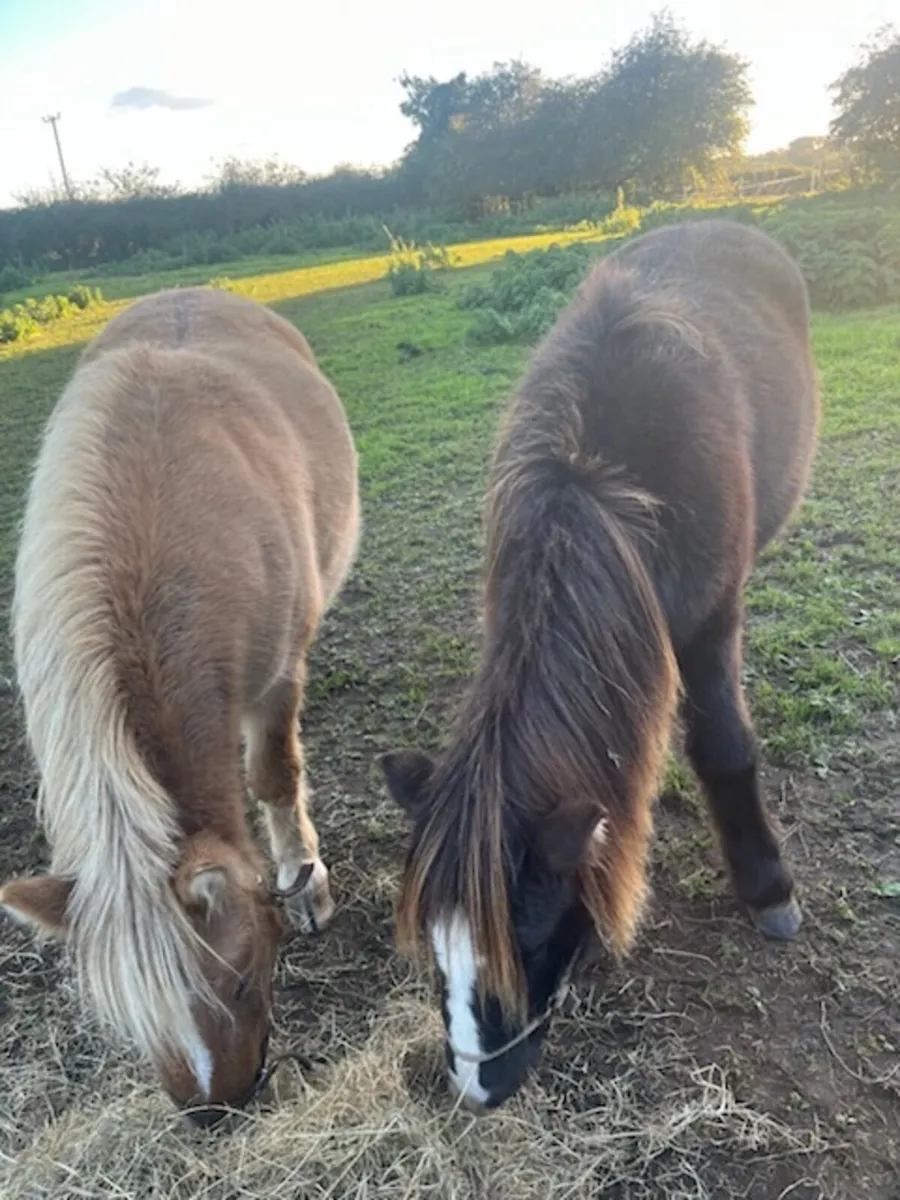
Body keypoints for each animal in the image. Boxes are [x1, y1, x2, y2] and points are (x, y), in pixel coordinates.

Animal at [0, 287, 360, 1124]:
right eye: (130, 1017)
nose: (211, 1110)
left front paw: (307, 881)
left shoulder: (274, 679)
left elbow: (273, 777)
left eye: (239, 979)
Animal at [380, 219, 821, 1113]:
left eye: (528, 940)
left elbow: (725, 748)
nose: (477, 1089)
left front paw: (768, 887)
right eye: (436, 952)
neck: (600, 486)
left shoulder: (711, 621)